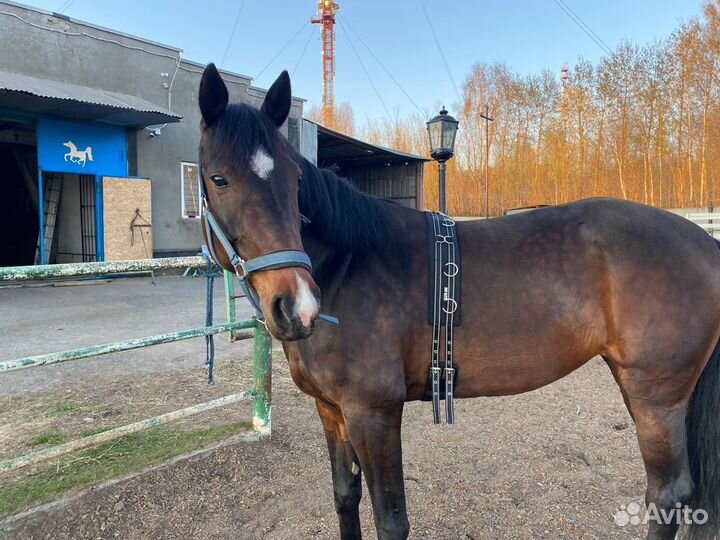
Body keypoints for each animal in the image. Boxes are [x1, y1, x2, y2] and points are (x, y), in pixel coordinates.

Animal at [196, 63, 720, 540]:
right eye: (218, 179)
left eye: (294, 181)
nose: (296, 305)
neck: (349, 263)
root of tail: (705, 243)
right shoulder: (331, 411)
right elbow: (345, 498)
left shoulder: (374, 413)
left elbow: (391, 519)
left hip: (656, 399)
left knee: (668, 494)